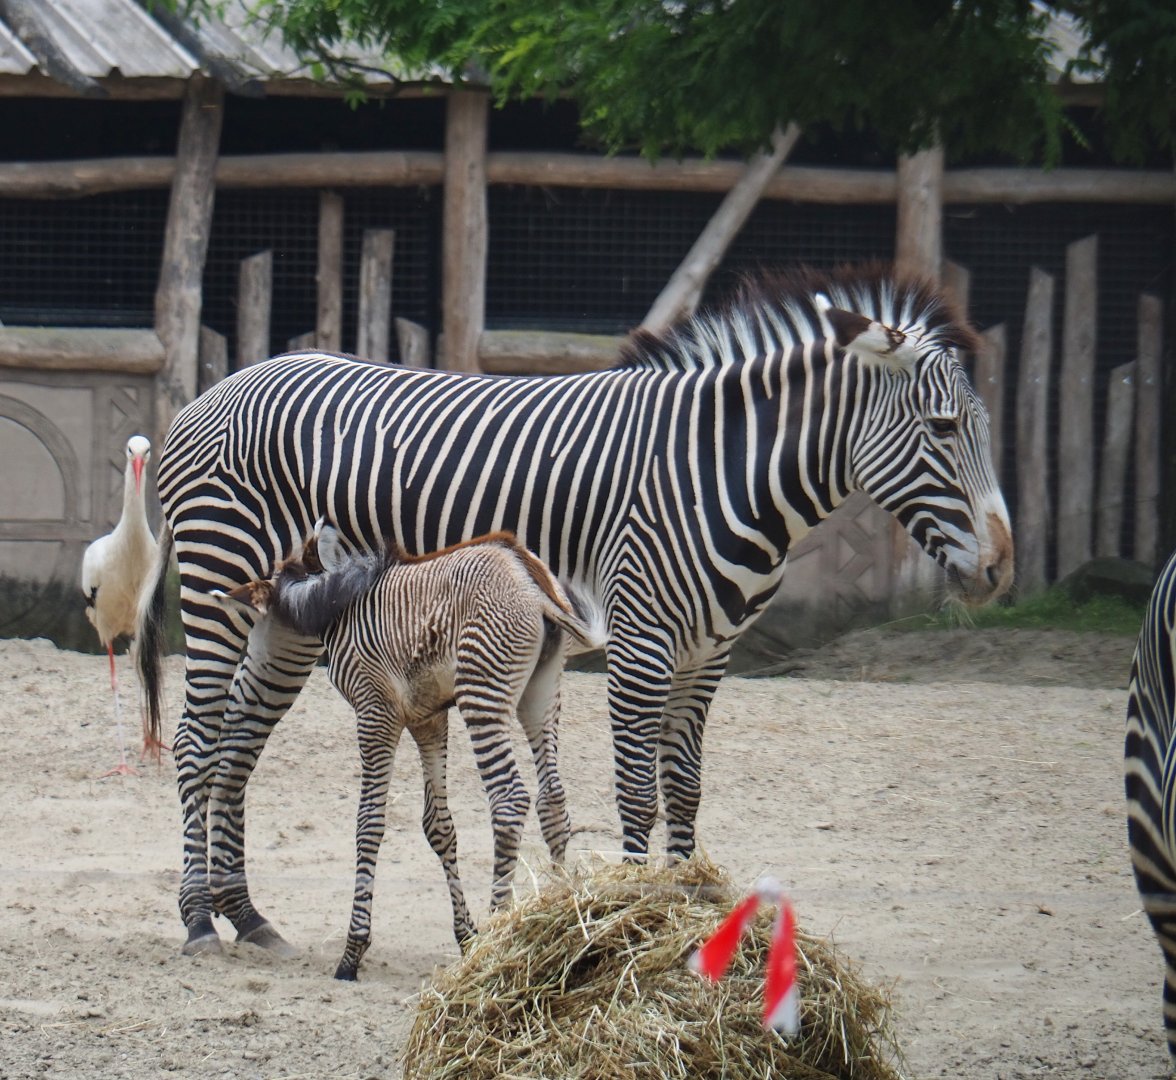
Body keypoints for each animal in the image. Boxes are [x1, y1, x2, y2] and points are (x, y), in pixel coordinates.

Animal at [213, 520, 603, 979]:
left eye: (257, 624)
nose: (244, 681)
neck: (337, 603)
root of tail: (529, 575)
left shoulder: (375, 713)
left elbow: (368, 824)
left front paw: (352, 953)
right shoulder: (427, 719)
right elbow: (439, 827)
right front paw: (465, 937)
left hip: (481, 693)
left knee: (509, 800)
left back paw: (500, 930)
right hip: (540, 695)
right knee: (553, 800)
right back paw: (559, 907)